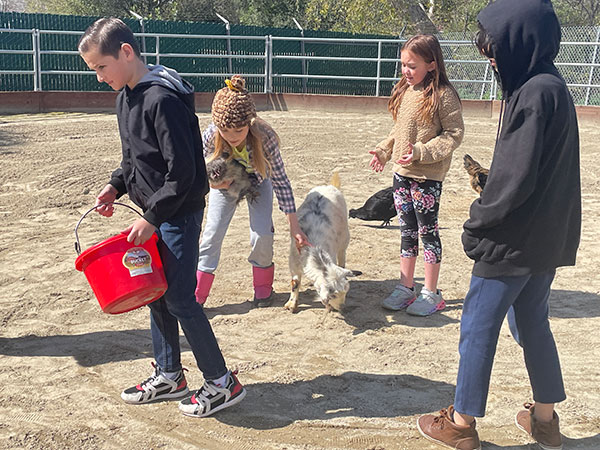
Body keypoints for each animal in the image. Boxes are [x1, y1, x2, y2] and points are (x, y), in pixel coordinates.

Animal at [284, 174, 354, 314]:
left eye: (346, 291)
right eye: (333, 295)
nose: (342, 308)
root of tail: (330, 186)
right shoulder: (293, 261)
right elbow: (295, 283)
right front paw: (291, 304)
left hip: (344, 238)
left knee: (342, 255)